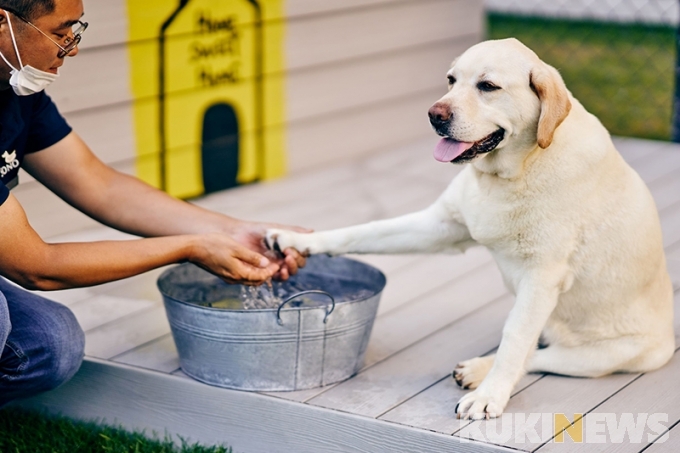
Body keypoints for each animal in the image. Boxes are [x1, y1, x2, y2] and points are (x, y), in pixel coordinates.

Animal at [264, 38, 668, 416]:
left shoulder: (542, 278)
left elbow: (513, 340)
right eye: (451, 80)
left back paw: (480, 373)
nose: (433, 115)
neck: (512, 172)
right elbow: (365, 231)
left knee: (536, 355)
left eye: (487, 86)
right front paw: (297, 239)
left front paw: (490, 397)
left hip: (607, 355)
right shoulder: (439, 225)